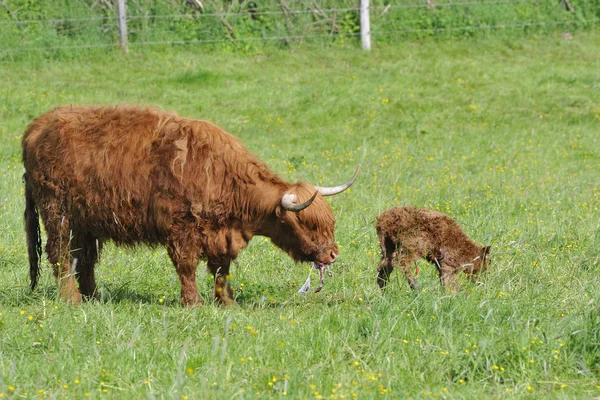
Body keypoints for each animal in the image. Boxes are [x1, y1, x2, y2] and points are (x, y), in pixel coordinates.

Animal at [22, 105, 360, 306]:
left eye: (329, 221)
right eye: (307, 223)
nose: (332, 254)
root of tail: (39, 125)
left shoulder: (220, 236)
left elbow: (222, 270)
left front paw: (227, 303)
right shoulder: (180, 227)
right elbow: (186, 267)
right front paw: (193, 303)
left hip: (85, 220)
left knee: (85, 258)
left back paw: (94, 297)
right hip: (57, 213)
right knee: (60, 254)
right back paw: (71, 299)